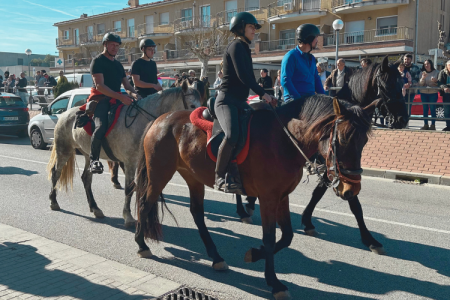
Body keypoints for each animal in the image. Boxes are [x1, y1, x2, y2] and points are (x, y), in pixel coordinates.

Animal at [46, 81, 201, 226]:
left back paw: (95, 208)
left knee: (86, 178)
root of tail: (64, 114)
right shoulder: (130, 162)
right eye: (192, 105)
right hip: (64, 150)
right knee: (56, 173)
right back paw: (54, 202)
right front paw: (128, 216)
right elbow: (129, 188)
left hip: (87, 154)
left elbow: (141, 187)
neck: (141, 121)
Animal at [133, 94, 376, 300]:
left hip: (192, 177)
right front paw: (274, 282)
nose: (350, 190)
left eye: (364, 142)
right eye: (342, 139)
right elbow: (269, 239)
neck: (283, 140)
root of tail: (159, 120)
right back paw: (142, 244)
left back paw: (216, 257)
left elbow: (286, 236)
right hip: (159, 174)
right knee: (145, 204)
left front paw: (254, 254)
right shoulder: (268, 198)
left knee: (197, 214)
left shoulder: (282, 197)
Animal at [236, 55, 408, 254]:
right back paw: (243, 209)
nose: (403, 119)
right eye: (389, 85)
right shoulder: (337, 166)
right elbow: (354, 203)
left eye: (402, 83)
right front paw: (369, 239)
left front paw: (307, 221)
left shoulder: (334, 168)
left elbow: (319, 193)